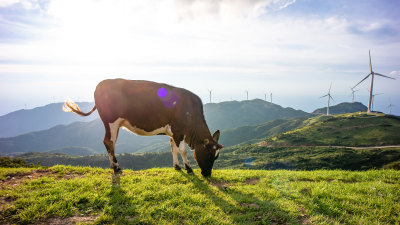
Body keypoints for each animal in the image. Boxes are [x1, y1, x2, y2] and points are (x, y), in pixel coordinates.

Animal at [64, 78, 223, 177]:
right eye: (210, 155)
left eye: (216, 157)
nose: (207, 174)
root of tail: (101, 84)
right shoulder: (178, 130)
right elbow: (182, 150)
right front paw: (188, 168)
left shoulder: (172, 132)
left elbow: (173, 149)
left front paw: (177, 166)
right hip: (111, 121)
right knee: (109, 142)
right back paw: (116, 168)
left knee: (110, 142)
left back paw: (113, 166)